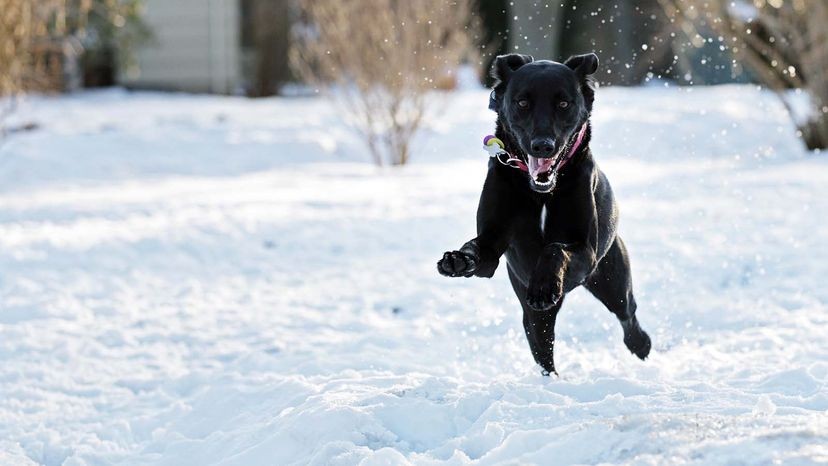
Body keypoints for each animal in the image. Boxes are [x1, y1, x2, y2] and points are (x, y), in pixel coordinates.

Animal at [436, 53, 652, 374]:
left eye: (563, 103)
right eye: (522, 102)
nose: (543, 145)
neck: (541, 194)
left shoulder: (586, 252)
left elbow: (554, 248)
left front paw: (544, 286)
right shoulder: (492, 244)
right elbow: (476, 248)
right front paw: (457, 260)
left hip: (612, 280)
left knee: (627, 312)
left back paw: (640, 344)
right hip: (533, 320)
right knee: (544, 350)